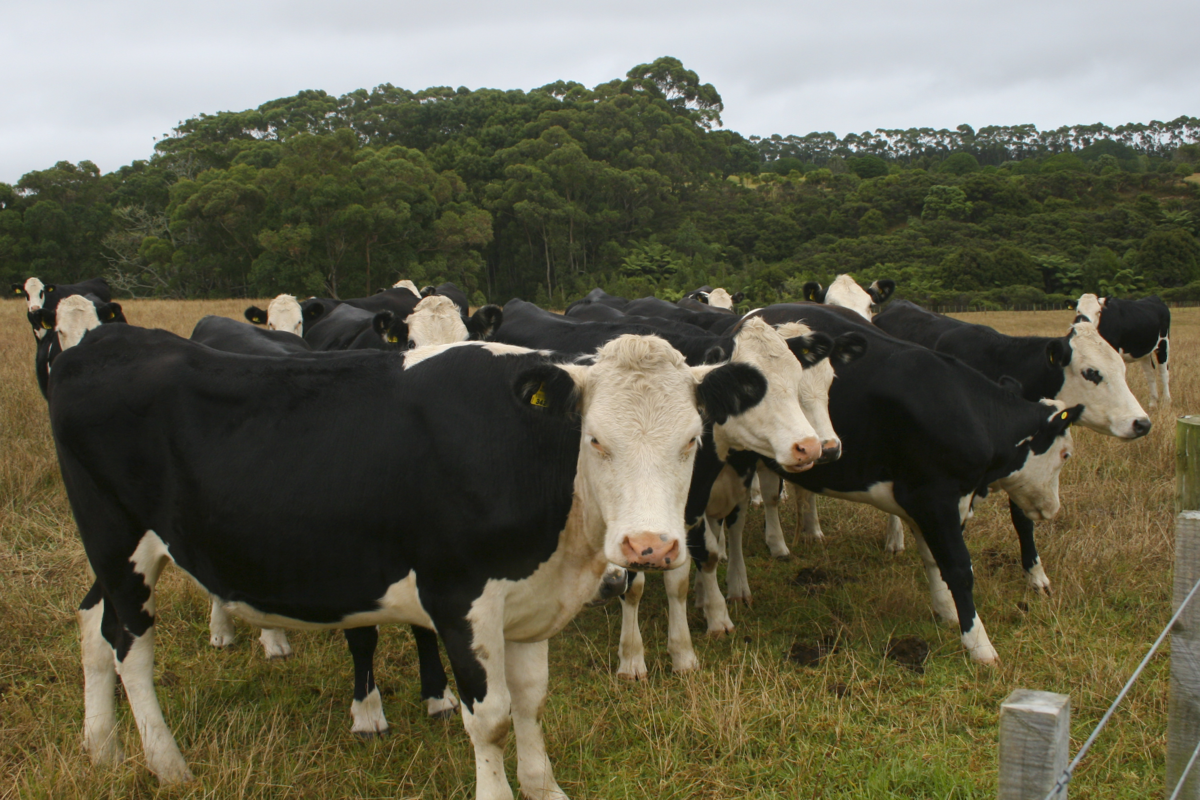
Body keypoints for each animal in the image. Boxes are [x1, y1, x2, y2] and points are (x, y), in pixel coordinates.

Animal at [49, 304, 768, 796]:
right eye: (594, 439)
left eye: (691, 439)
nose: (648, 545)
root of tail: (106, 341)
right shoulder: (459, 597)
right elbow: (493, 717)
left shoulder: (528, 602)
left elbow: (532, 702)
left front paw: (545, 788)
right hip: (119, 540)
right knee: (130, 646)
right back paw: (167, 763)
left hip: (118, 553)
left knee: (91, 623)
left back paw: (101, 746)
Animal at [739, 302, 1080, 662]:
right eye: (1065, 454)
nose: (1052, 509)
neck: (966, 411)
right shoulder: (934, 500)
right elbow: (959, 568)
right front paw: (979, 644)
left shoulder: (931, 502)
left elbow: (933, 559)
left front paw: (946, 610)